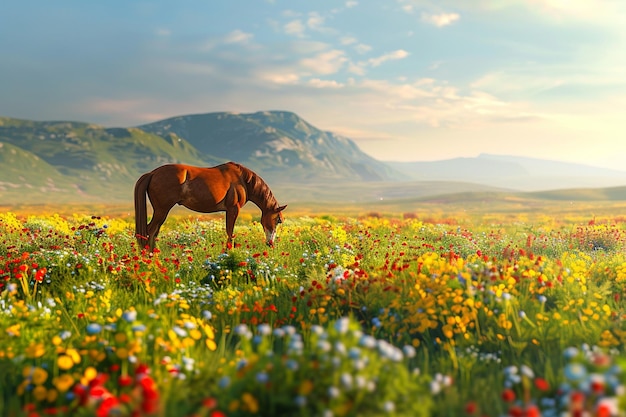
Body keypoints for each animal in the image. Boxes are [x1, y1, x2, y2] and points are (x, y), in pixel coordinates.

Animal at [135, 161, 286, 249]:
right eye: (278, 220)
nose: (270, 244)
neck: (243, 180)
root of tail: (152, 173)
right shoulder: (233, 209)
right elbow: (230, 233)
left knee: (153, 232)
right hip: (162, 210)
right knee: (150, 231)